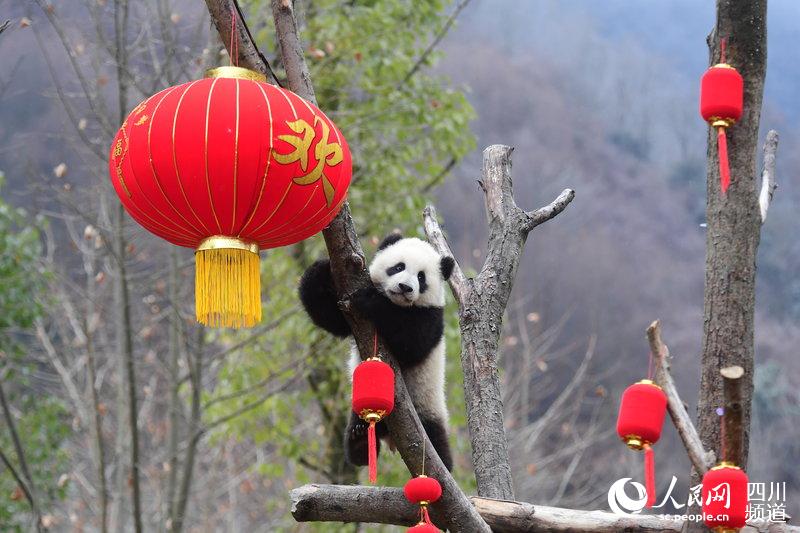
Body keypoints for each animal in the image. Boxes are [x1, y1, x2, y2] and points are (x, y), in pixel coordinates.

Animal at [298, 233, 455, 471]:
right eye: (398, 266)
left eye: (421, 277)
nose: (405, 287)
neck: (398, 303)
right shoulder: (348, 313)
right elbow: (329, 318)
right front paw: (324, 267)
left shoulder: (432, 318)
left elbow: (411, 341)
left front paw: (370, 299)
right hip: (360, 408)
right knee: (358, 446)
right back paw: (359, 439)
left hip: (428, 409)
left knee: (438, 444)